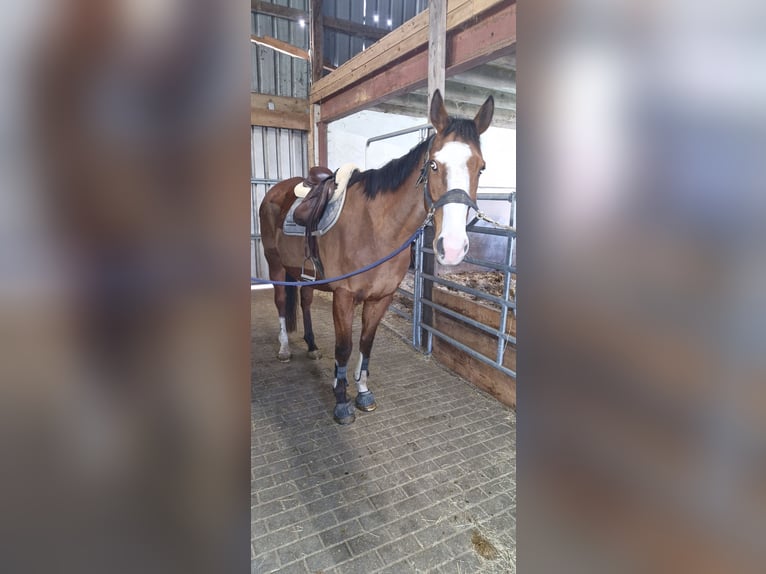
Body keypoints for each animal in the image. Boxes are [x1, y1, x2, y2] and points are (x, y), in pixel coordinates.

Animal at [258, 89, 494, 424]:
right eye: (434, 165)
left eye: (481, 167)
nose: (451, 247)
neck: (375, 227)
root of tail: (276, 191)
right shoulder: (344, 296)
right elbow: (344, 348)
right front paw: (341, 400)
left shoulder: (381, 297)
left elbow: (366, 344)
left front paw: (363, 392)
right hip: (276, 265)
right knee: (280, 302)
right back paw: (284, 349)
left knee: (304, 302)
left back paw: (313, 345)